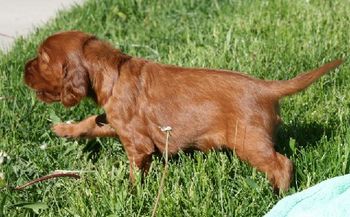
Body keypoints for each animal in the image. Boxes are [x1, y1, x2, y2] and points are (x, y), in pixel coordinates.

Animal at [24, 30, 342, 190]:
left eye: (42, 59)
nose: (23, 70)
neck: (114, 71)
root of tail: (266, 87)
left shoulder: (137, 144)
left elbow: (135, 173)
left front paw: (132, 195)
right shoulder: (113, 122)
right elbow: (91, 122)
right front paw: (63, 129)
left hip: (249, 142)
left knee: (281, 165)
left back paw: (277, 193)